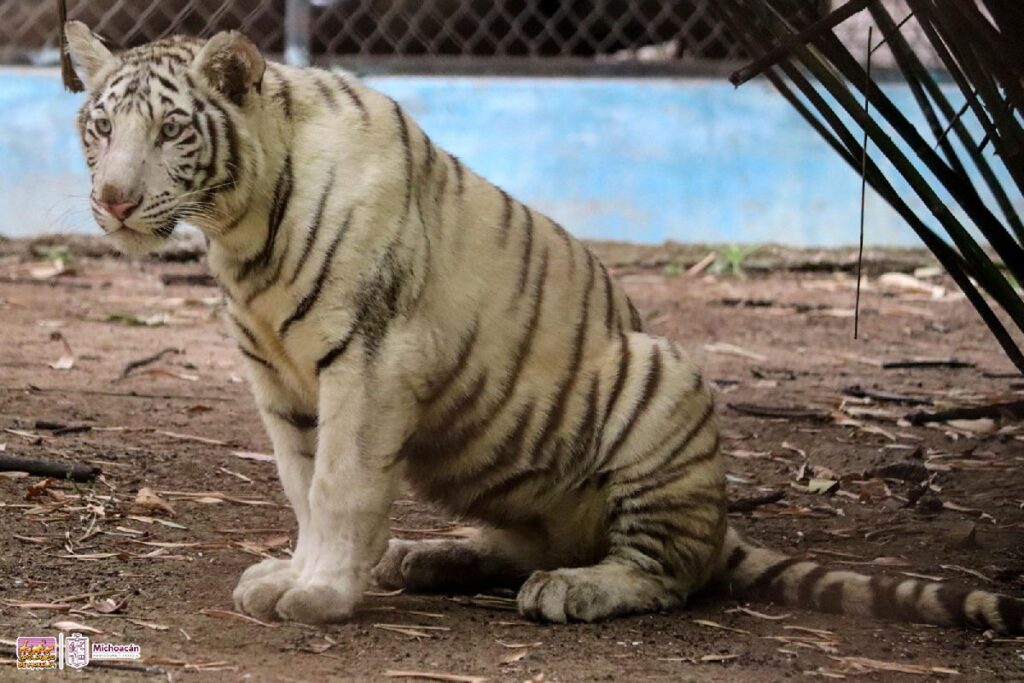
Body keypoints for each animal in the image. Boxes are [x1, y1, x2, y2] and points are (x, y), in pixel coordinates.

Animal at [66, 20, 1024, 630]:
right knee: (532, 539)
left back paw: (573, 591)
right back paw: (424, 557)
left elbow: (338, 485)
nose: (112, 201)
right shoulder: (279, 381)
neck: (240, 226)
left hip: (662, 378)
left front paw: (322, 594)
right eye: (100, 126)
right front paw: (299, 573)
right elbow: (303, 486)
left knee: (670, 569)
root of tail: (723, 519)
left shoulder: (369, 360)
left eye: (173, 129)